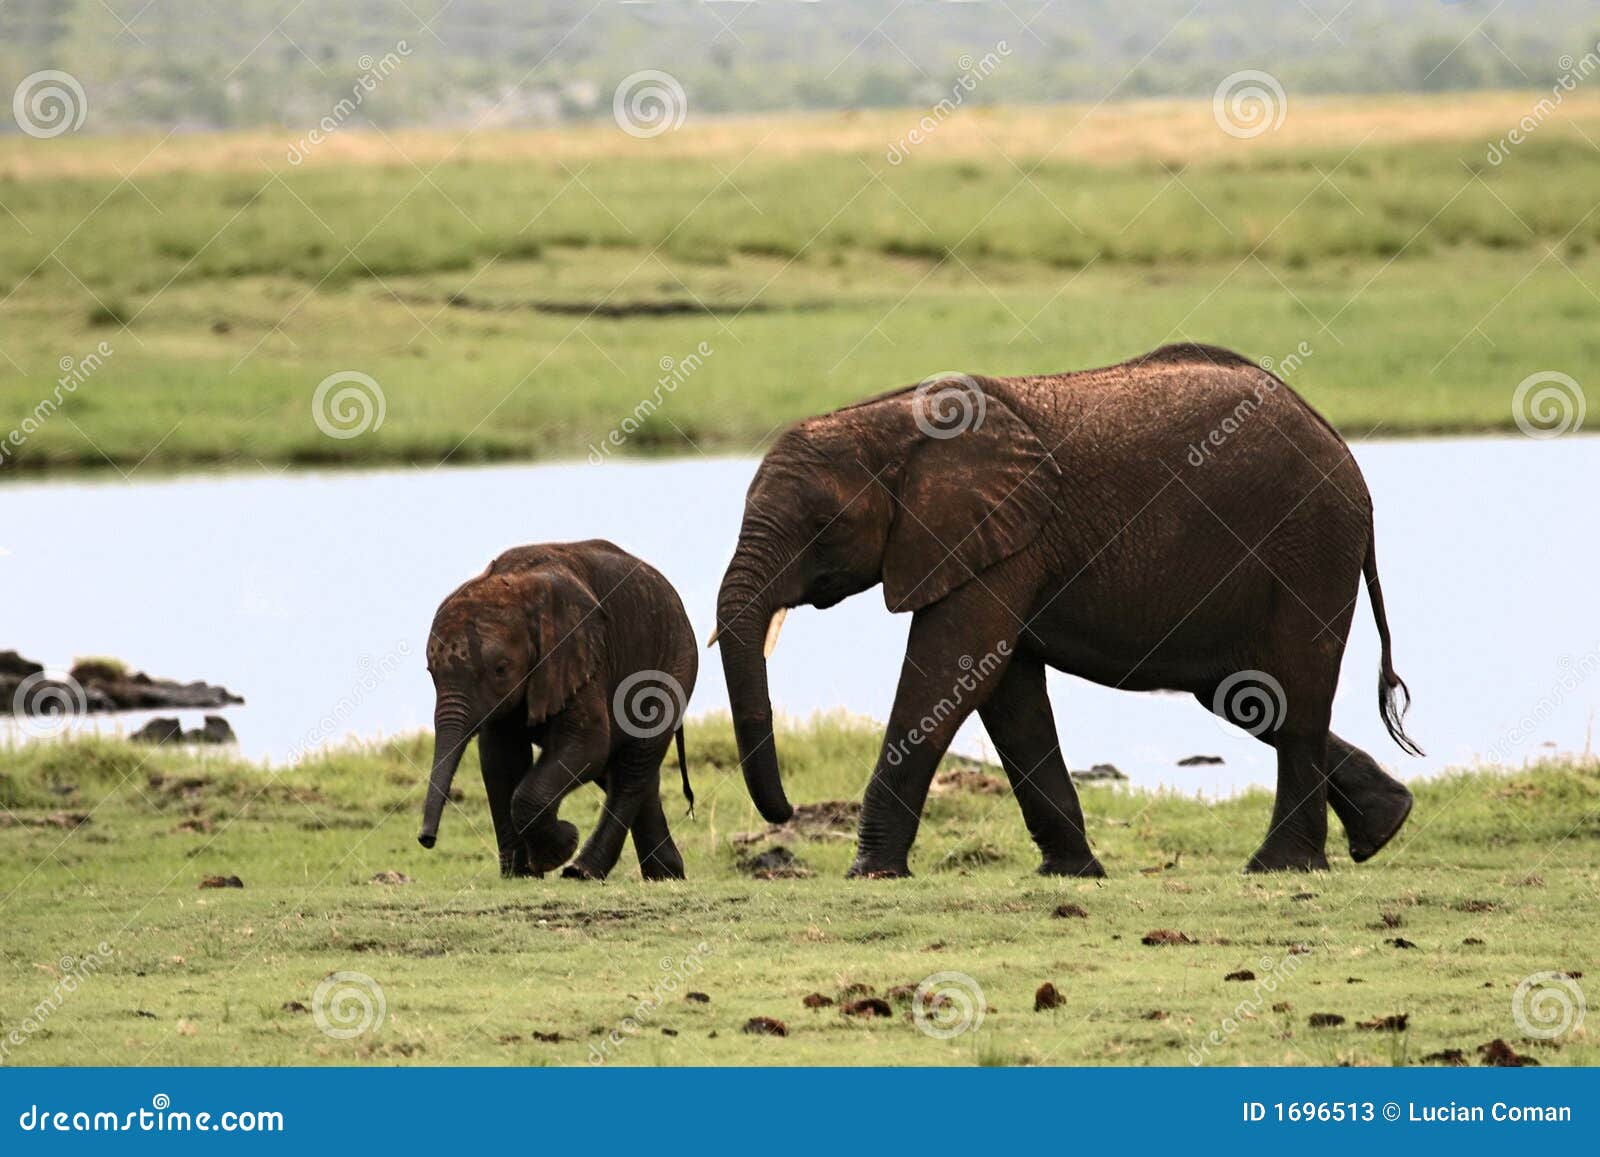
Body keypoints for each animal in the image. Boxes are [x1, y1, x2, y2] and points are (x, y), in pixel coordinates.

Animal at [422, 540, 697, 876]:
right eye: (430, 672)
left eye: (501, 669)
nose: (426, 840)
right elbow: (501, 759)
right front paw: (520, 873)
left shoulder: (580, 656)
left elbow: (588, 746)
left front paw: (561, 846)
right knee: (627, 770)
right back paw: (666, 875)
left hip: (673, 661)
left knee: (633, 766)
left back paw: (582, 872)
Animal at [713, 344, 1427, 876]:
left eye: (822, 527)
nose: (783, 813)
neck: (890, 419)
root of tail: (1340, 445)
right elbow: (1006, 692)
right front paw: (1073, 874)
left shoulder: (1001, 539)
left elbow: (951, 671)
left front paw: (871, 874)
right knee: (1247, 697)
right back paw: (1385, 827)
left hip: (1309, 543)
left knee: (1293, 692)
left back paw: (1280, 866)